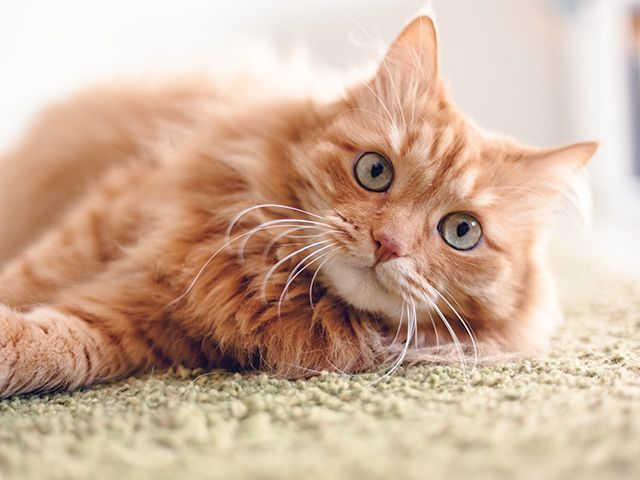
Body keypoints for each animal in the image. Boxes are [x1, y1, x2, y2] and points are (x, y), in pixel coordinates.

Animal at [0, 15, 596, 398]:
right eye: (375, 171)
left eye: (462, 231)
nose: (388, 244)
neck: (263, 271)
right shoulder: (107, 217)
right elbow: (27, 278)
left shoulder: (144, 328)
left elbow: (53, 344)